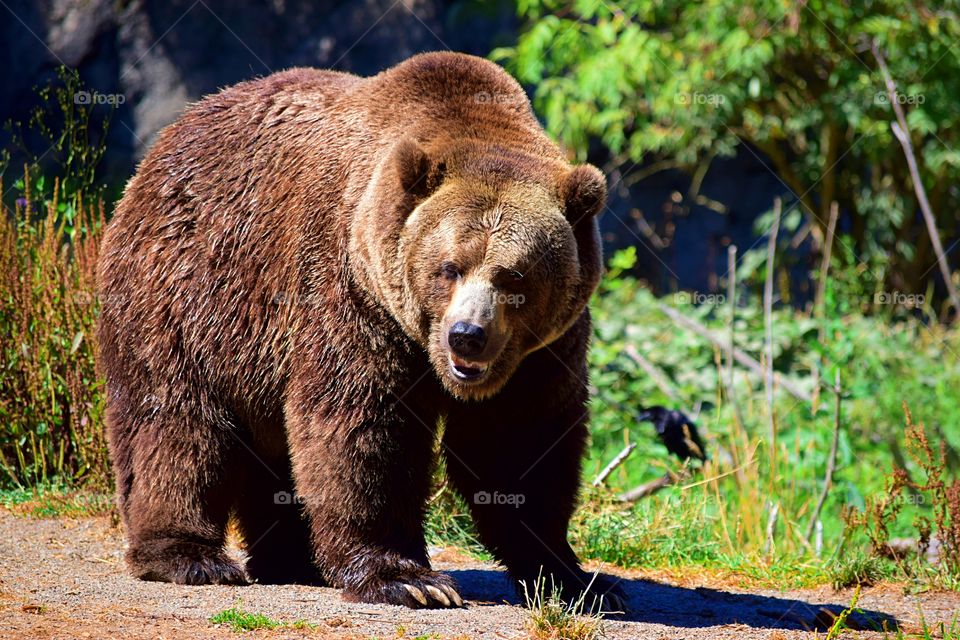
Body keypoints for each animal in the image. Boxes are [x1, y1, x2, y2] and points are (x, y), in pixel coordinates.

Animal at [96, 51, 623, 610]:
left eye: (514, 276)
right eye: (449, 267)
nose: (466, 335)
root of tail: (164, 142)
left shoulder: (541, 351)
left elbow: (522, 444)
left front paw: (574, 576)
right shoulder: (351, 294)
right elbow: (361, 424)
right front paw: (408, 578)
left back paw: (293, 559)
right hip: (187, 296)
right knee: (177, 421)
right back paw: (190, 555)